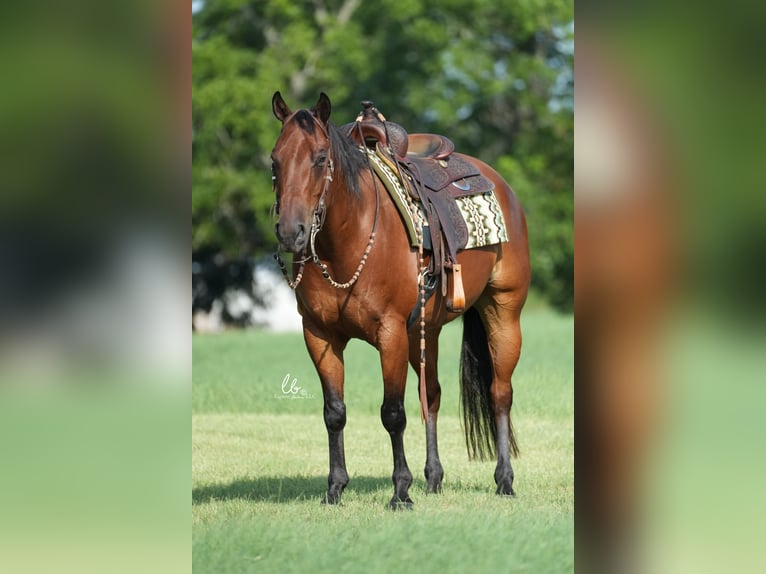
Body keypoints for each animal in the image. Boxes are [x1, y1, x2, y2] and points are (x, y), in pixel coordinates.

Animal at [272, 90, 532, 508]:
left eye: (321, 158)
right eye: (274, 161)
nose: (290, 231)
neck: (346, 240)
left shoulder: (389, 333)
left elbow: (392, 413)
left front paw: (400, 491)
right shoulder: (319, 335)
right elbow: (334, 412)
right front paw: (335, 487)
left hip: (504, 312)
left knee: (499, 394)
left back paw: (504, 480)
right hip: (425, 331)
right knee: (434, 395)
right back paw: (434, 477)